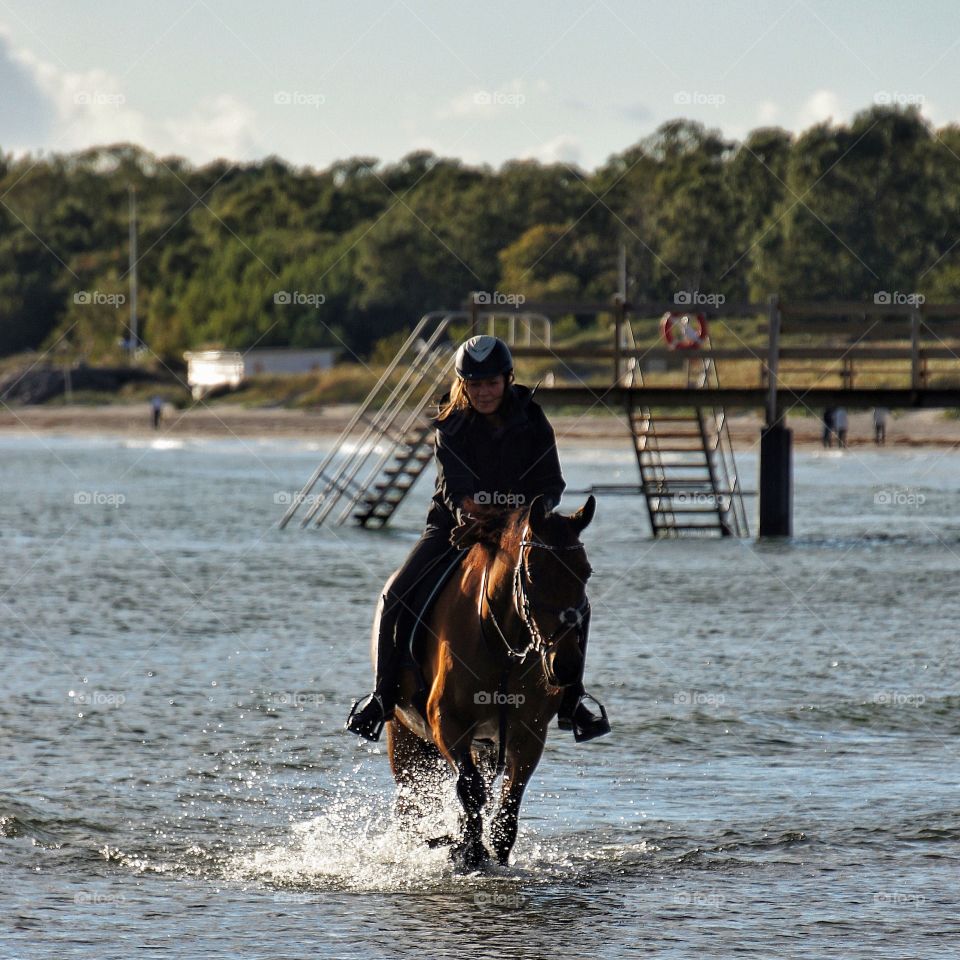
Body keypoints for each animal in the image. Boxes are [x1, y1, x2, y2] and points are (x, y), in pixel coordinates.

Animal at [380, 496, 592, 872]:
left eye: (586, 572)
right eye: (532, 572)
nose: (565, 666)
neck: (503, 645)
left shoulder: (529, 735)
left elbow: (505, 810)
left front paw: (488, 855)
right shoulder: (448, 725)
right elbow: (471, 793)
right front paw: (467, 853)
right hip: (404, 738)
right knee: (412, 805)